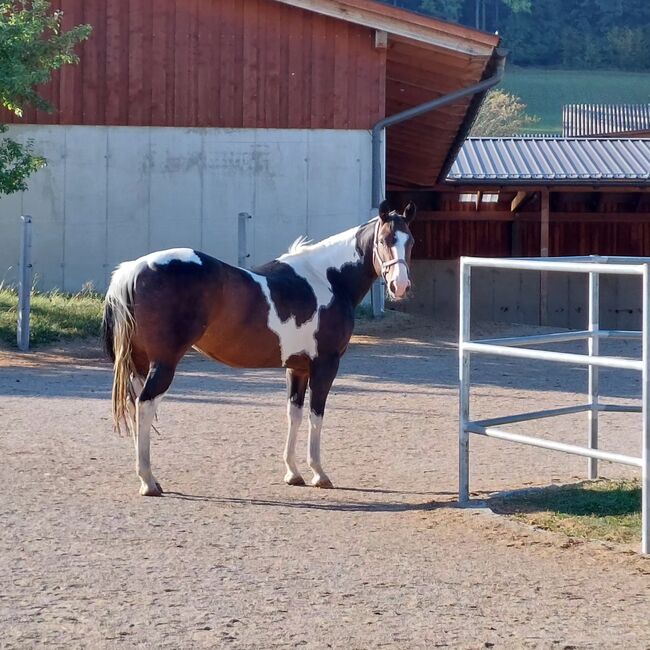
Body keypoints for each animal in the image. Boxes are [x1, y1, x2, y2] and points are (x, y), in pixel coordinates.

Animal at [101, 200, 416, 494]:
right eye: (385, 240)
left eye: (410, 241)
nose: (400, 287)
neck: (327, 279)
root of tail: (133, 269)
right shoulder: (325, 365)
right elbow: (316, 415)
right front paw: (319, 473)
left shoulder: (298, 368)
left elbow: (294, 414)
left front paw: (293, 473)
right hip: (163, 363)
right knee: (145, 406)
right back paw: (148, 481)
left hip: (141, 363)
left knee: (136, 407)